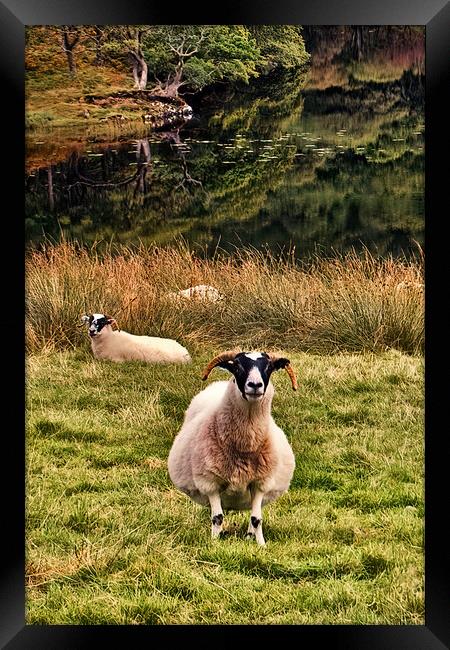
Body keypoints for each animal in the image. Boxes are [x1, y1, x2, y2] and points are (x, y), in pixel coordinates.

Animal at [167, 350, 298, 540]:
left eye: (269, 367)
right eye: (237, 366)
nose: (255, 385)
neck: (245, 447)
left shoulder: (261, 482)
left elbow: (256, 518)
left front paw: (260, 543)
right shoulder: (209, 482)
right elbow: (217, 517)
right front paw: (214, 542)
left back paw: (249, 536)